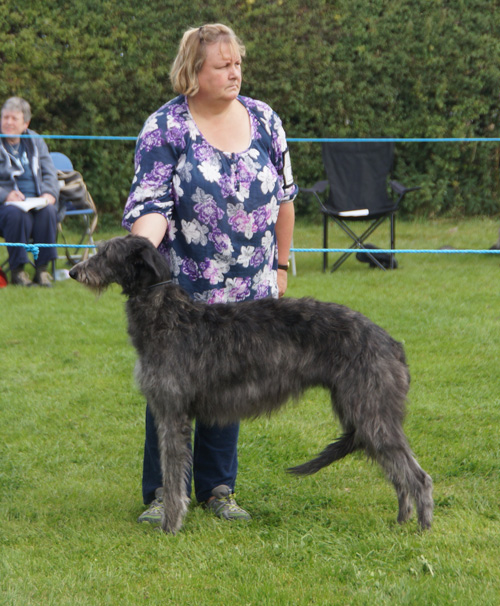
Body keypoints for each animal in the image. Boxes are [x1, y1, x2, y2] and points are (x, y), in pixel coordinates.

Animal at [68, 235, 432, 536]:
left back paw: (422, 529)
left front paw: (170, 526)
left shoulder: (173, 414)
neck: (168, 315)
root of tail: (392, 344)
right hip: (366, 413)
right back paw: (401, 521)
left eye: (105, 253)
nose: (72, 271)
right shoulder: (166, 411)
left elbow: (173, 478)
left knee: (418, 477)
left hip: (372, 412)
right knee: (398, 475)